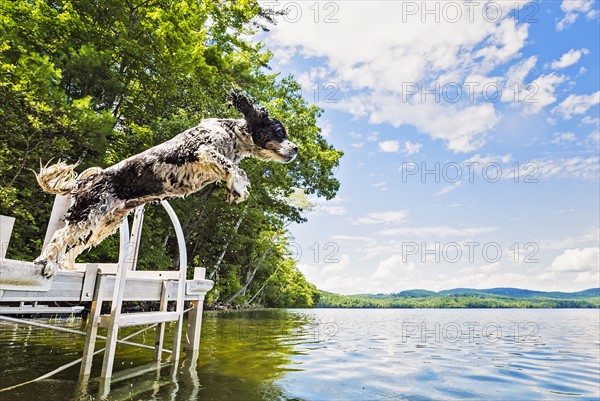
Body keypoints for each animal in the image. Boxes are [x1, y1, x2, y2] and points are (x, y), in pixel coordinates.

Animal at [33, 90, 298, 278]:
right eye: (279, 131)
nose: (296, 148)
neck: (232, 134)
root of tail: (87, 181)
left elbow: (230, 168)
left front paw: (235, 187)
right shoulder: (202, 149)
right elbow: (234, 168)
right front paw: (239, 187)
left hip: (104, 223)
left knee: (74, 246)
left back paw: (67, 267)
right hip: (88, 213)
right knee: (59, 237)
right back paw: (45, 263)